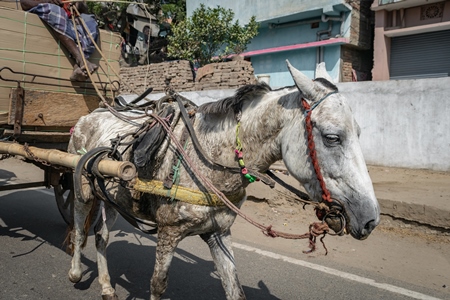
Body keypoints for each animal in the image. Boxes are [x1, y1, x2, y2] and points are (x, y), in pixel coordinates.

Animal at [67, 61, 380, 300]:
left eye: (359, 133)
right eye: (332, 137)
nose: (371, 219)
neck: (207, 160)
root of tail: (88, 116)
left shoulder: (218, 232)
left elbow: (235, 289)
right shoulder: (168, 232)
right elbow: (157, 285)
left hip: (111, 198)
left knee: (102, 235)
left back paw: (107, 287)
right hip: (81, 189)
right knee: (81, 231)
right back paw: (75, 272)